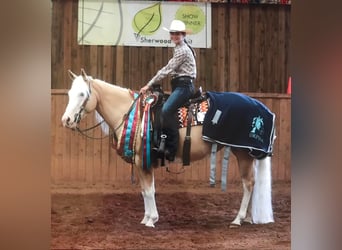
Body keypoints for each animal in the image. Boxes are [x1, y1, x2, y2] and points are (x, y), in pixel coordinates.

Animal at [61, 69, 276, 228]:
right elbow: (145, 190)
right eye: (70, 94)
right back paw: (248, 218)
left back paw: (238, 219)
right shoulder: (141, 162)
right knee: (252, 184)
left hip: (243, 153)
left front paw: (151, 220)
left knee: (248, 184)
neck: (131, 113)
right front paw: (146, 218)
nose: (66, 120)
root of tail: (263, 108)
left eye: (82, 94)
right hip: (246, 154)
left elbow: (149, 191)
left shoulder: (143, 160)